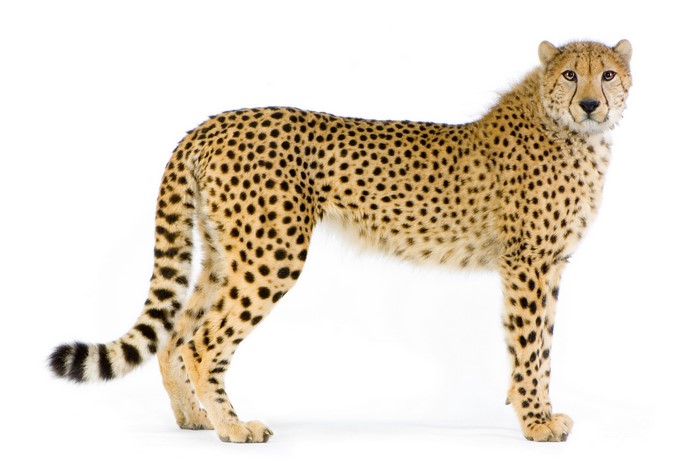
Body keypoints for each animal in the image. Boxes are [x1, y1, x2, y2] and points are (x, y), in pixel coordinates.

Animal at [49, 39, 632, 443]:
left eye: (607, 74)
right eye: (570, 75)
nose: (590, 104)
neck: (574, 134)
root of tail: (214, 122)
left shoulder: (548, 265)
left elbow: (543, 345)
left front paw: (540, 413)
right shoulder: (528, 264)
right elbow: (529, 346)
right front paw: (536, 423)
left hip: (224, 253)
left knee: (174, 336)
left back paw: (195, 418)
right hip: (271, 254)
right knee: (203, 341)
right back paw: (234, 428)